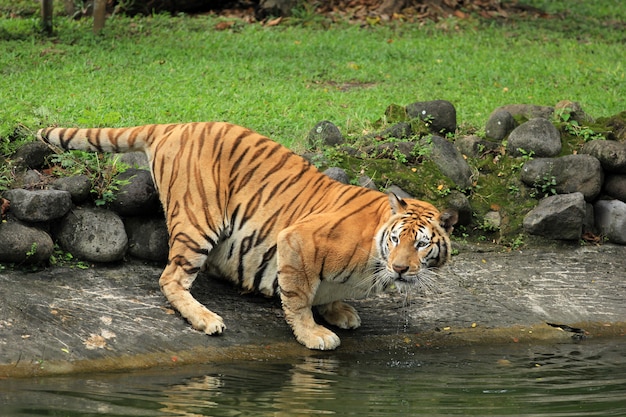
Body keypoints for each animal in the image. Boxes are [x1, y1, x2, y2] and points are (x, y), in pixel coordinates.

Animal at [39, 122, 456, 350]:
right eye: (397, 240)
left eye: (421, 244)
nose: (401, 269)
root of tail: (176, 125)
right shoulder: (296, 240)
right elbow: (300, 298)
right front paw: (313, 334)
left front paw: (339, 311)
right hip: (198, 221)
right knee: (171, 278)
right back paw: (205, 318)